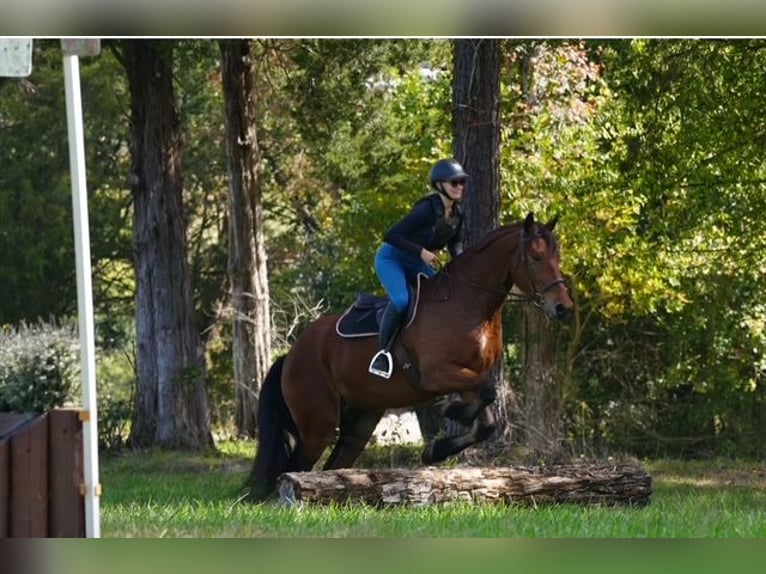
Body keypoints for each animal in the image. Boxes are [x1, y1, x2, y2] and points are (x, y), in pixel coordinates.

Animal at [248, 212, 573, 500]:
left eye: (557, 258)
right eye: (535, 258)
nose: (563, 308)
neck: (468, 302)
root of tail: (291, 355)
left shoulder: (466, 375)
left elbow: (486, 416)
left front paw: (440, 442)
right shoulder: (437, 375)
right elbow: (486, 393)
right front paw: (451, 416)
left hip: (360, 422)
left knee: (335, 464)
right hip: (319, 423)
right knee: (297, 465)